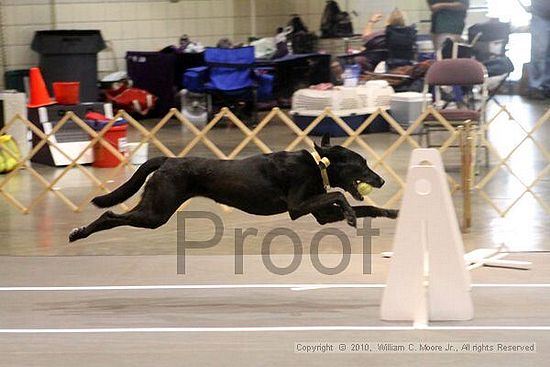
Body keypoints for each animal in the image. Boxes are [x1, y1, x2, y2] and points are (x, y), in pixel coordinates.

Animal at [69, 134, 398, 243]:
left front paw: (392, 212)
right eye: (361, 164)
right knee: (110, 215)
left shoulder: (321, 214)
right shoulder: (297, 207)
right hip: (155, 212)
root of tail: (168, 159)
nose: (381, 181)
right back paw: (78, 233)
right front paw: (352, 216)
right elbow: (340, 194)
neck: (319, 165)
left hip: (154, 209)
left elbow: (364, 205)